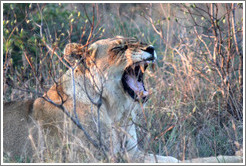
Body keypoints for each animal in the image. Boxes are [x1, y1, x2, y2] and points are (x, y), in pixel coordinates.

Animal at [2, 36, 243, 163]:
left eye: (138, 41)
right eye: (119, 48)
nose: (151, 48)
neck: (115, 110)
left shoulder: (131, 151)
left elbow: (179, 159)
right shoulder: (102, 157)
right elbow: (179, 161)